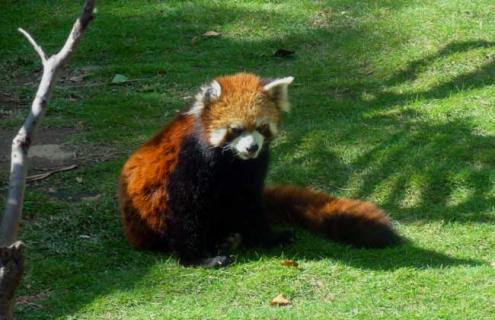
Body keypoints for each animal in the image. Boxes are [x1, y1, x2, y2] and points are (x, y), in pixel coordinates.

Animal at [120, 72, 404, 268]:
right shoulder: (193, 160)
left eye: (260, 127)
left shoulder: (254, 168)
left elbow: (251, 203)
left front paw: (268, 238)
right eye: (235, 130)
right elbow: (187, 207)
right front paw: (198, 259)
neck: (232, 160)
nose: (252, 147)